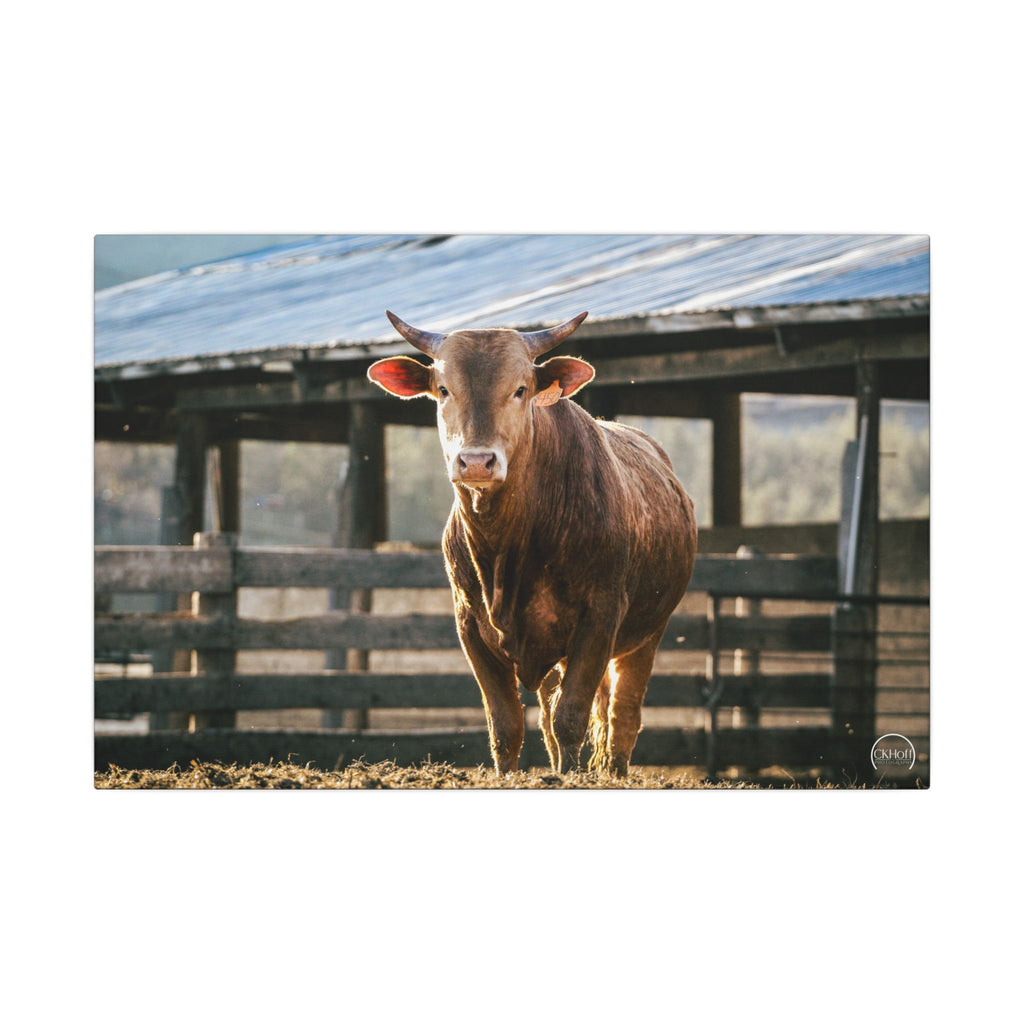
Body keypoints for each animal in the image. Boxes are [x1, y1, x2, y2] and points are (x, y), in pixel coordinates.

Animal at [367, 310, 697, 776]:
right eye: (443, 389)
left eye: (520, 389)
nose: (476, 462)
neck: (508, 550)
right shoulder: (470, 626)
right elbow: (506, 725)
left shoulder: (600, 617)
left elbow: (571, 717)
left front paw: (570, 775)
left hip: (648, 633)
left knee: (622, 715)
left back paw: (612, 769)